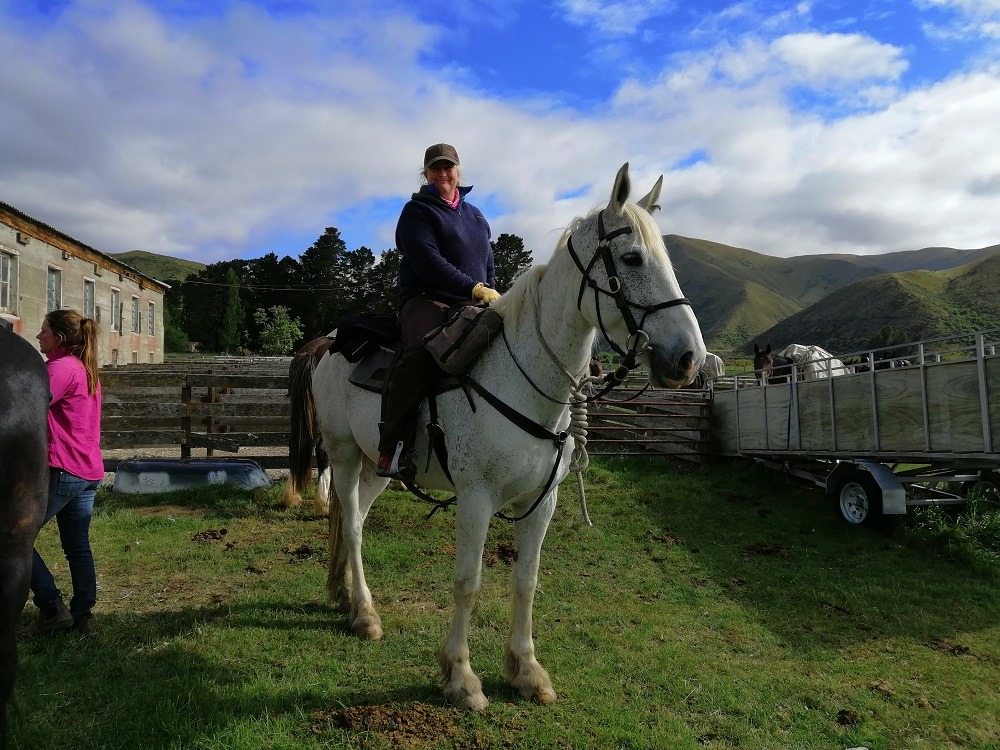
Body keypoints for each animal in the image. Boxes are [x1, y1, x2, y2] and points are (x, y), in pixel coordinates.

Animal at [290, 164, 708, 712]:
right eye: (633, 257)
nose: (688, 358)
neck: (523, 379)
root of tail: (329, 344)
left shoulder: (542, 501)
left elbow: (526, 581)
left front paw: (526, 670)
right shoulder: (476, 499)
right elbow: (468, 583)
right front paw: (461, 677)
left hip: (377, 462)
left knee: (352, 515)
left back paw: (344, 594)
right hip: (340, 452)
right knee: (355, 526)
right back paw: (365, 614)